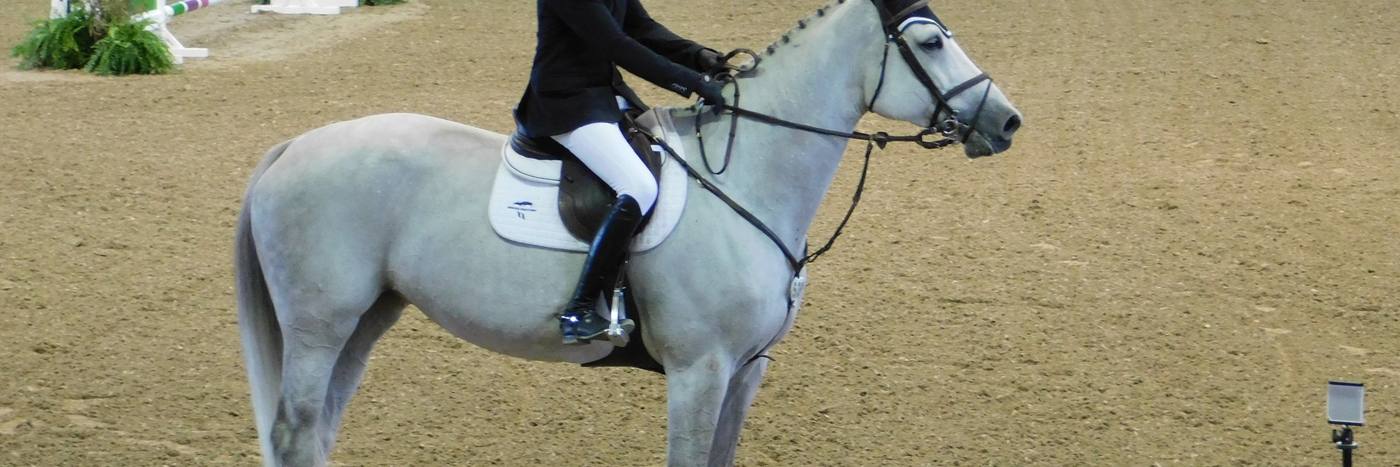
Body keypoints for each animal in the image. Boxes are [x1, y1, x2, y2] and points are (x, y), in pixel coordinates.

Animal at [234, 0, 1023, 465]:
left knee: (319, 427)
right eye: (930, 41)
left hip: (367, 316)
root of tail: (291, 148)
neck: (747, 177)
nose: (1007, 121)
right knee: (296, 429)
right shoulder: (700, 370)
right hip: (320, 323)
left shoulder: (746, 369)